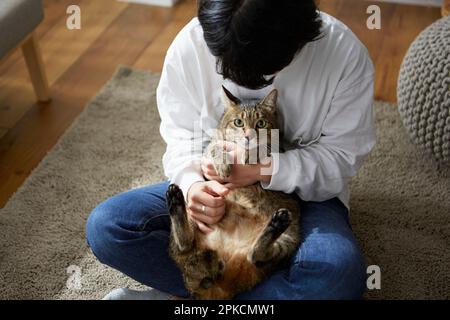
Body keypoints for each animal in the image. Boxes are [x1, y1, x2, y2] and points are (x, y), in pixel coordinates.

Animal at [164, 85, 298, 300]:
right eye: (238, 122)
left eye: (261, 123)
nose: (248, 136)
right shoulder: (211, 147)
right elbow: (216, 148)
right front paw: (225, 163)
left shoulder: (277, 150)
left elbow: (263, 149)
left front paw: (251, 153)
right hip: (195, 215)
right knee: (184, 243)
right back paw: (175, 199)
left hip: (289, 238)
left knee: (256, 255)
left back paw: (277, 223)